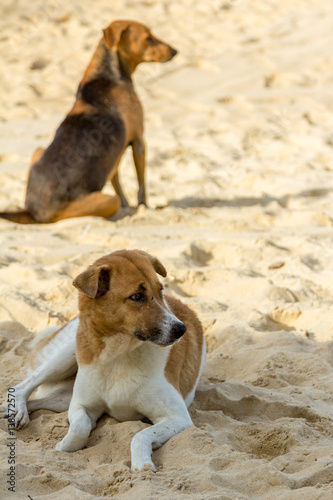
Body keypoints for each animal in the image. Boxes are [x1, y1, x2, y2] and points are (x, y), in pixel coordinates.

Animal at [0, 19, 176, 223]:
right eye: (148, 38)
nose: (175, 51)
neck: (107, 75)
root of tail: (32, 211)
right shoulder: (139, 142)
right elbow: (141, 185)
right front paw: (144, 206)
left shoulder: (114, 156)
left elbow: (116, 180)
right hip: (107, 201)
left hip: (38, 150)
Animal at [0, 252, 205, 470]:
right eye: (137, 296)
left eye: (161, 291)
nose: (181, 329)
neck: (118, 355)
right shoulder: (80, 405)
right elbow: (79, 430)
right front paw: (61, 446)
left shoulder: (178, 418)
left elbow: (140, 435)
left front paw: (142, 465)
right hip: (67, 355)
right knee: (23, 386)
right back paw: (18, 409)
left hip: (62, 398)